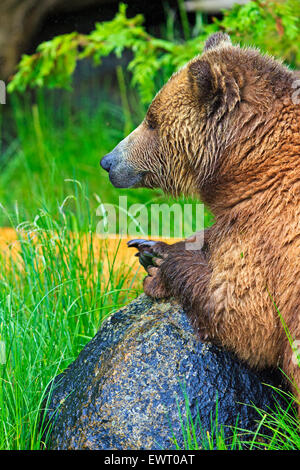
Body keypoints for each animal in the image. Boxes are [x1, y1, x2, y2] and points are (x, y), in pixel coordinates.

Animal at [100, 32, 300, 414]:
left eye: (151, 119)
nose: (107, 161)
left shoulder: (273, 226)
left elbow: (240, 310)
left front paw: (159, 264)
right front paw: (148, 248)